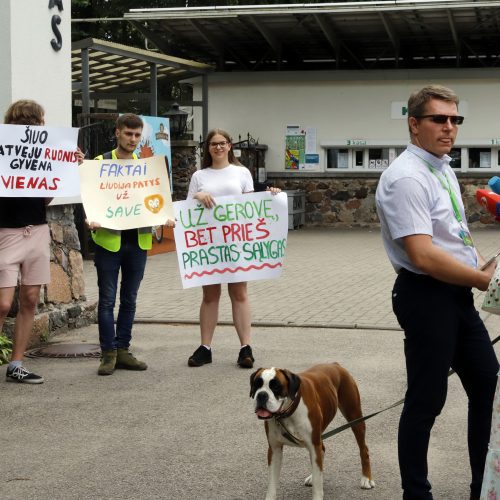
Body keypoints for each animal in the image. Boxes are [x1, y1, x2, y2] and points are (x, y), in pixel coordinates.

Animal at [250, 364, 376, 500]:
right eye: (256, 384)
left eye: (276, 386)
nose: (261, 395)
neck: (289, 412)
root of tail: (335, 364)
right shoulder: (275, 450)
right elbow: (272, 484)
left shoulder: (313, 444)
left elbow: (317, 483)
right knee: (321, 454)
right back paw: (313, 476)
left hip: (355, 418)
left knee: (363, 449)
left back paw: (366, 478)